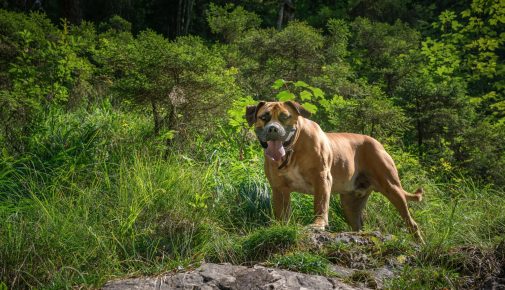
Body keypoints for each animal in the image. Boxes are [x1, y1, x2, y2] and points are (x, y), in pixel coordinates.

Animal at [246, 101, 424, 241]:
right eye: (264, 117)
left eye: (284, 117)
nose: (273, 129)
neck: (291, 151)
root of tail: (377, 142)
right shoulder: (279, 188)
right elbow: (281, 212)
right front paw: (281, 227)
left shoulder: (322, 178)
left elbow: (320, 204)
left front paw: (318, 225)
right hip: (350, 203)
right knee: (358, 224)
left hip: (392, 188)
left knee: (411, 222)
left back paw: (419, 243)